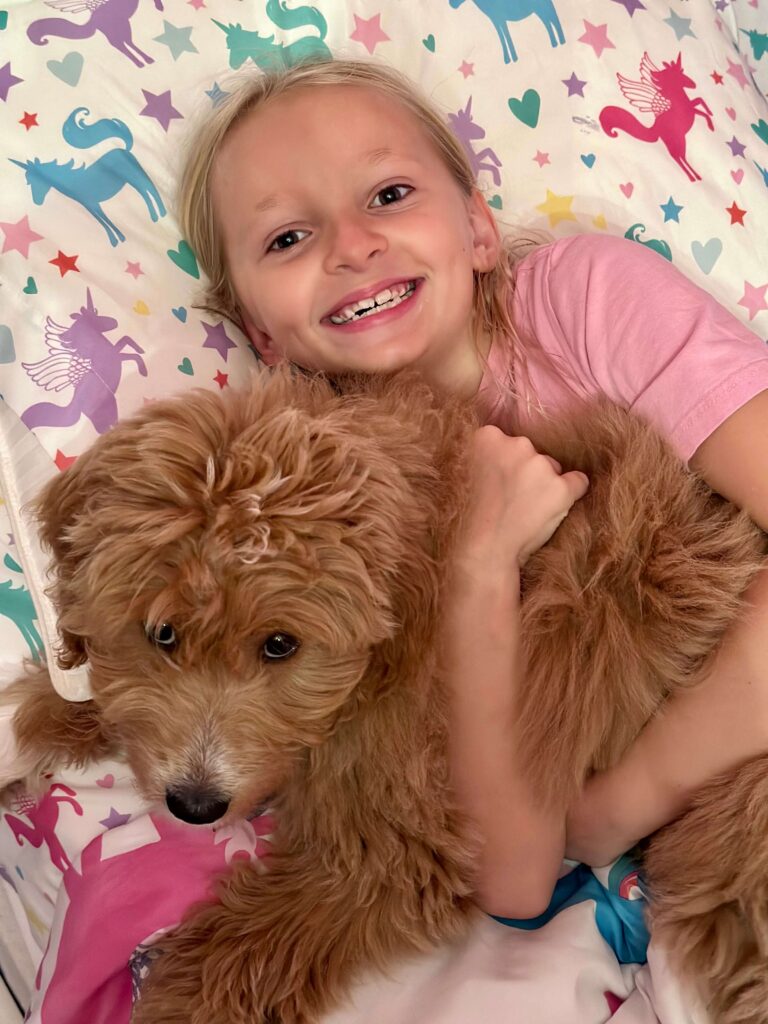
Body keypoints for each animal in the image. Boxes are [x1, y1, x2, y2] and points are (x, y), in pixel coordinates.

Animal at [1, 370, 768, 1024]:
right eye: (162, 632)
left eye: (280, 644)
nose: (194, 806)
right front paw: (40, 714)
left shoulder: (395, 852)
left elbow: (246, 949)